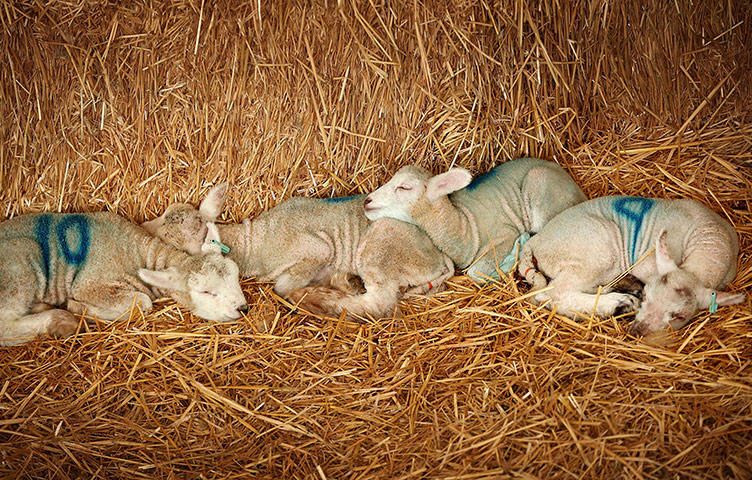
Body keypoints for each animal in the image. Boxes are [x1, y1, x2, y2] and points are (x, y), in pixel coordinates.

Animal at [1, 213, 251, 344]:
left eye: (235, 277)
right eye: (206, 292)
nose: (243, 308)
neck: (133, 251)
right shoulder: (89, 284)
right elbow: (143, 302)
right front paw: (80, 308)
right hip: (19, 262)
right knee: (6, 324)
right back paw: (60, 320)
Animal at [144, 184, 456, 322]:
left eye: (173, 241)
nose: (142, 226)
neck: (254, 241)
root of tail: (438, 257)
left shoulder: (315, 250)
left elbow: (283, 287)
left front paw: (309, 292)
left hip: (382, 245)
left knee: (379, 303)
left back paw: (327, 301)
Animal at [364, 158, 588, 282]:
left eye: (404, 187)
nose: (367, 201)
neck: (465, 228)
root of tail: (578, 190)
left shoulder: (503, 234)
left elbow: (475, 273)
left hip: (541, 185)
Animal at [516, 197, 748, 336]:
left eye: (680, 316)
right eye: (648, 296)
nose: (637, 331)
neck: (711, 240)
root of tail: (535, 241)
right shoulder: (646, 264)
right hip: (595, 249)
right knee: (552, 294)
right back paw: (618, 303)